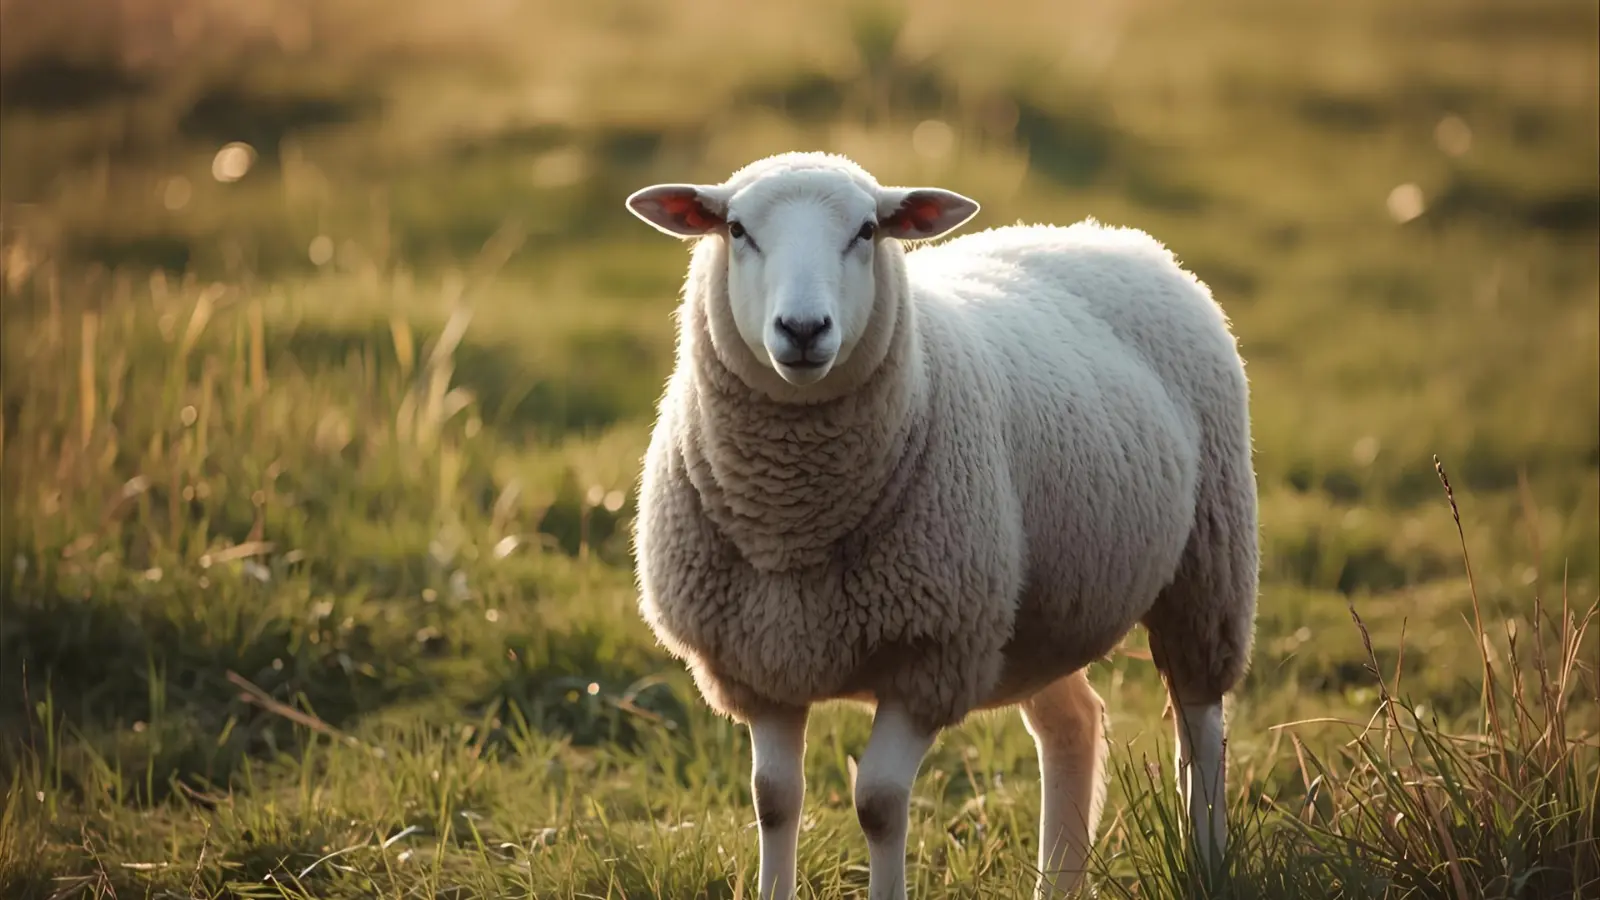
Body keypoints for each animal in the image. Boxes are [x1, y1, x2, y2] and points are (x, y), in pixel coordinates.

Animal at [625, 151, 1259, 900]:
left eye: (867, 231)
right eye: (737, 230)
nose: (803, 330)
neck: (795, 523)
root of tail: (1116, 237)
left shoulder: (931, 656)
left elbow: (878, 803)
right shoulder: (762, 664)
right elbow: (774, 799)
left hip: (1207, 566)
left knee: (1201, 727)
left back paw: (1206, 862)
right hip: (1036, 616)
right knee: (1074, 724)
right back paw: (1059, 882)